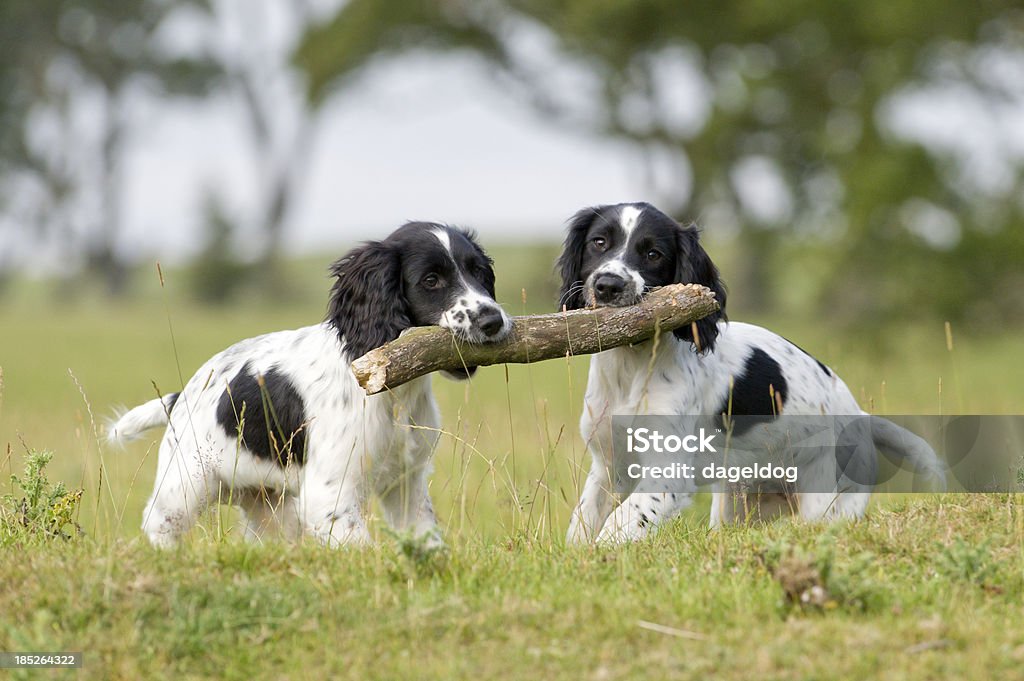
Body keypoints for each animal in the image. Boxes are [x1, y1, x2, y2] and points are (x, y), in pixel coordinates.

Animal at [110, 223, 509, 548]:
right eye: (430, 280)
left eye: (479, 273)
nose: (493, 320)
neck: (395, 394)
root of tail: (183, 395)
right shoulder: (330, 494)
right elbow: (360, 548)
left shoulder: (406, 482)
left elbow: (427, 541)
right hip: (186, 485)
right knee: (158, 523)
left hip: (269, 506)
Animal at [561, 201, 942, 540]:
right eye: (599, 242)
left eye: (653, 254)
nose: (608, 285)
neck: (631, 367)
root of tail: (861, 417)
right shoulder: (608, 468)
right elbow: (582, 523)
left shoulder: (668, 471)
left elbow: (622, 523)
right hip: (735, 504)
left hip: (825, 502)